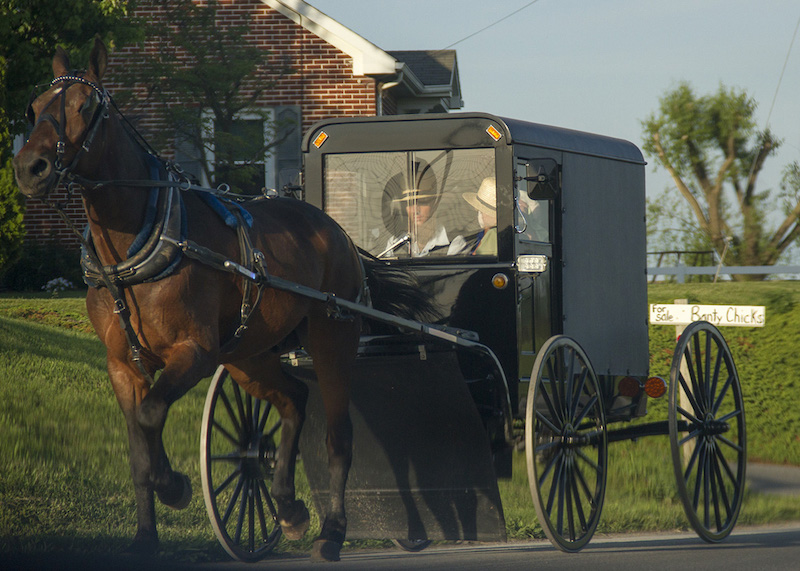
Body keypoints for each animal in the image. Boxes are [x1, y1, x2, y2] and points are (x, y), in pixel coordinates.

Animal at [13, 35, 362, 564]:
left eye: (85, 105)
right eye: (34, 108)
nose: (29, 168)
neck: (142, 240)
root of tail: (335, 230)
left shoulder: (193, 352)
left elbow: (152, 414)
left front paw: (174, 485)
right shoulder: (122, 365)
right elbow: (137, 445)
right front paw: (145, 538)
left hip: (331, 338)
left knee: (338, 434)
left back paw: (332, 533)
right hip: (247, 353)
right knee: (294, 399)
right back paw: (287, 505)